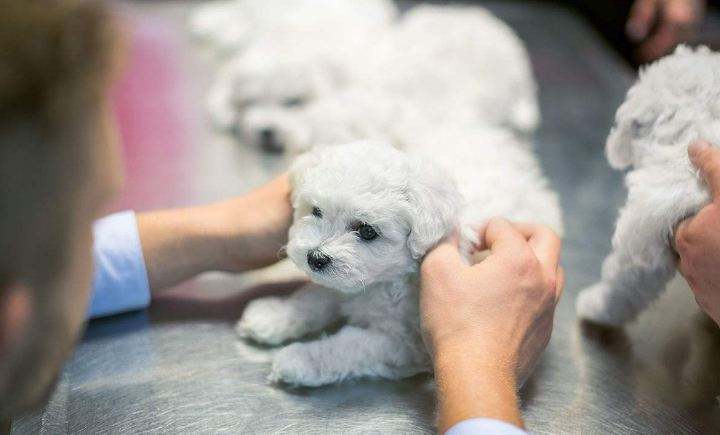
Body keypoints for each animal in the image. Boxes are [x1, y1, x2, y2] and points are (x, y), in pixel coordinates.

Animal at [236, 129, 564, 384]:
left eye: (367, 231)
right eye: (316, 211)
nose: (315, 258)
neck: (382, 282)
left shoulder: (403, 342)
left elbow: (350, 346)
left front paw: (299, 359)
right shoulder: (341, 287)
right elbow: (312, 298)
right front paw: (274, 316)